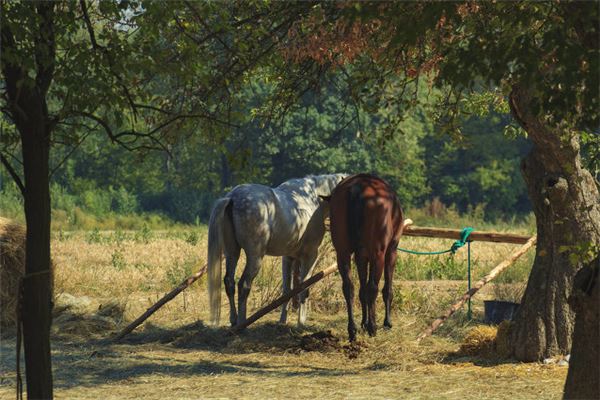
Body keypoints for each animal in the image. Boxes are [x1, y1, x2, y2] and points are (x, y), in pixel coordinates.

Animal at [207, 174, 344, 328]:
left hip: (232, 253)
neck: (314, 199)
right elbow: (304, 288)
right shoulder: (310, 256)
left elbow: (287, 290)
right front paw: (301, 322)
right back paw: (242, 323)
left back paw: (234, 320)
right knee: (244, 285)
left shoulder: (288, 258)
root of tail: (233, 198)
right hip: (255, 257)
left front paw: (282, 321)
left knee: (229, 282)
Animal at [324, 173, 408, 342]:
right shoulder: (391, 251)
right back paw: (373, 327)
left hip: (342, 252)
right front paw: (385, 322)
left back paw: (353, 329)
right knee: (373, 287)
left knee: (349, 287)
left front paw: (363, 322)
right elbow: (386, 289)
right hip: (379, 253)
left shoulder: (361, 255)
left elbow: (362, 289)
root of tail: (358, 186)